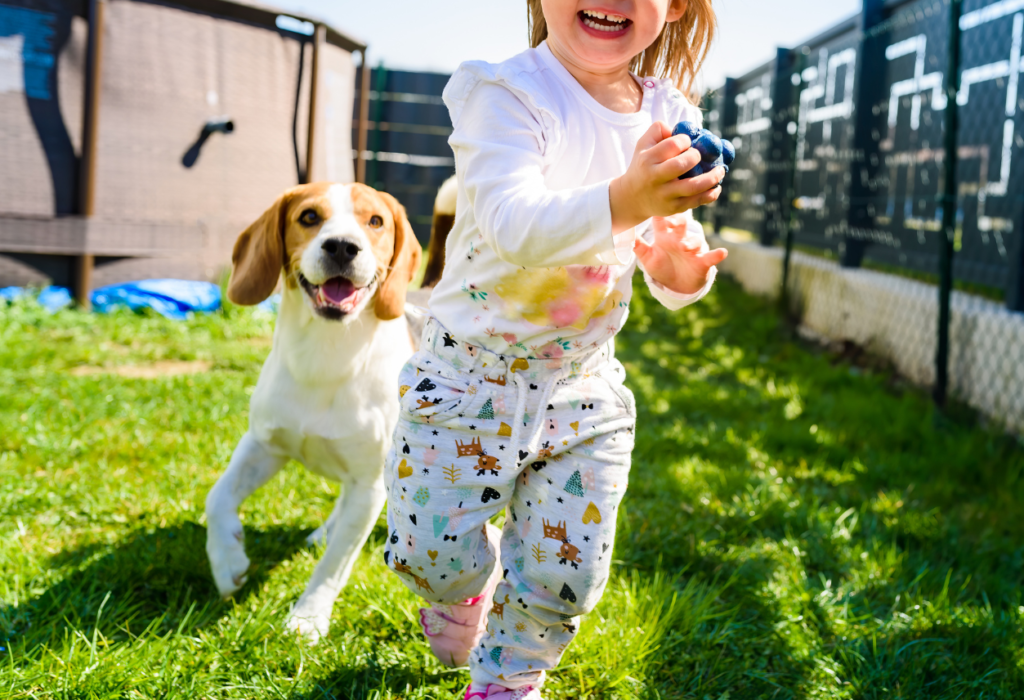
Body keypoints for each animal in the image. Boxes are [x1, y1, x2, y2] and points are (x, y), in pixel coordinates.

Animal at [205, 182, 421, 646]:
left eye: (375, 221)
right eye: (308, 217)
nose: (342, 246)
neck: (325, 358)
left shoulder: (369, 484)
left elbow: (335, 565)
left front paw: (308, 618)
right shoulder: (263, 445)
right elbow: (217, 497)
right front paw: (228, 561)